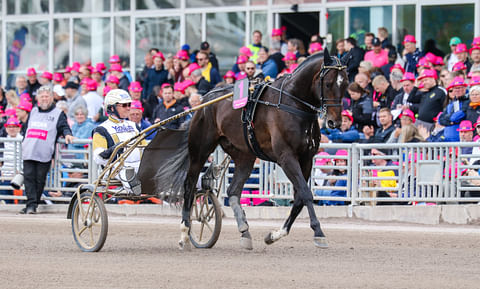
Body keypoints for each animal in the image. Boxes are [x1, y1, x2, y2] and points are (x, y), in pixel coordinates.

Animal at [144, 48, 346, 249]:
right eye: (328, 83)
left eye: (345, 83)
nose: (334, 122)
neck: (292, 104)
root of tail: (204, 101)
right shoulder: (287, 157)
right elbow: (305, 193)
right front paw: (319, 233)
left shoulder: (306, 158)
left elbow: (298, 199)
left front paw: (274, 235)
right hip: (200, 149)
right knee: (190, 185)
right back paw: (185, 232)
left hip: (244, 156)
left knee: (233, 191)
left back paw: (244, 231)